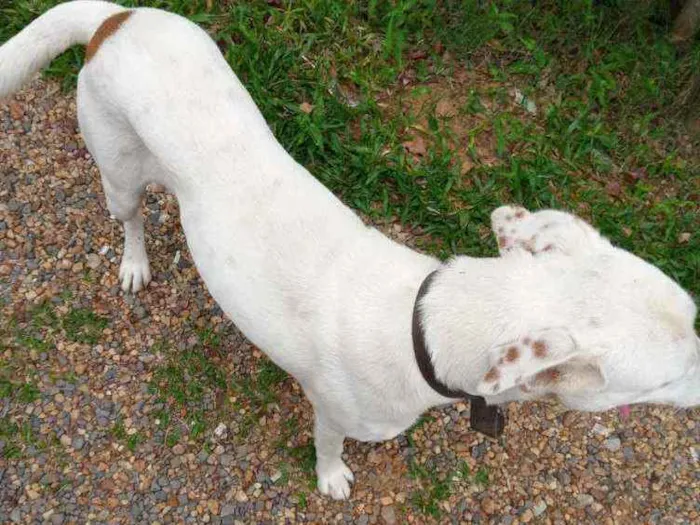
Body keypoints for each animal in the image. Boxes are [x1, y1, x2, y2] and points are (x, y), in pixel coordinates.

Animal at [2, 0, 696, 500]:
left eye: (693, 319)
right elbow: (328, 448)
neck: (423, 326)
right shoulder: (334, 414)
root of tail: (114, 20)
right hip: (117, 173)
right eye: (667, 376)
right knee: (131, 221)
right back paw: (135, 264)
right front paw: (331, 479)